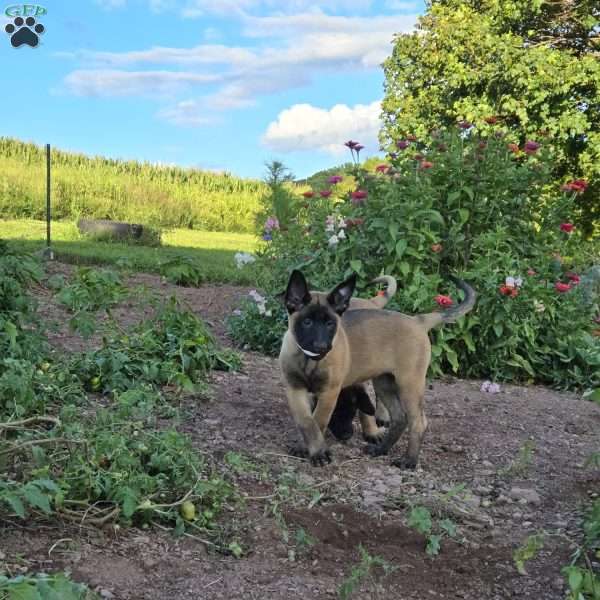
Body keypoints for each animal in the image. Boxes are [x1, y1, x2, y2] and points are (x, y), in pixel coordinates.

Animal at [278, 268, 476, 468]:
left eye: (330, 324)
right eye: (307, 322)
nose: (321, 347)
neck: (309, 360)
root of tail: (417, 320)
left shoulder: (329, 392)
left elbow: (318, 420)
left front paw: (317, 453)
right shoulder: (294, 389)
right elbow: (306, 421)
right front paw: (305, 447)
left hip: (409, 385)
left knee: (418, 422)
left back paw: (409, 460)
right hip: (384, 383)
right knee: (399, 417)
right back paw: (381, 449)